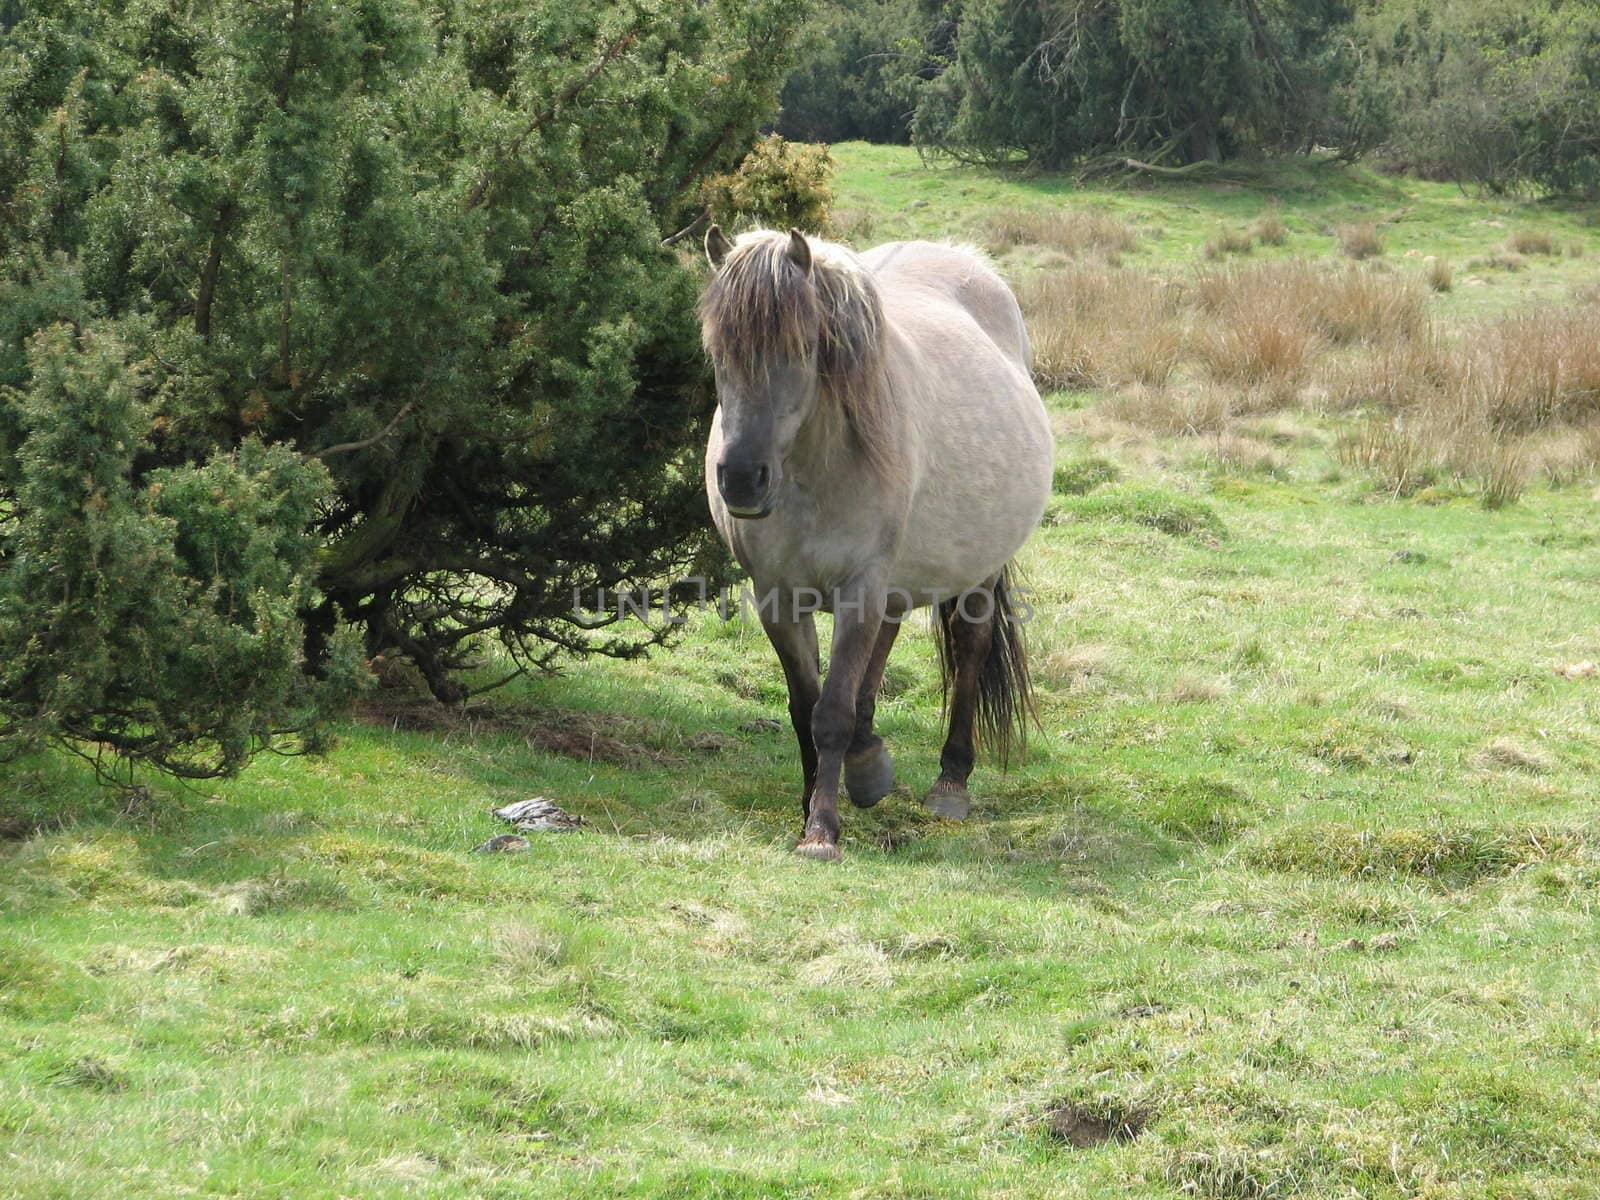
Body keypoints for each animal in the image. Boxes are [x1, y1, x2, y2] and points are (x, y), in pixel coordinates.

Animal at [697, 225, 1049, 857]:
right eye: (718, 352)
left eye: (801, 349)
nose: (739, 479)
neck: (816, 471)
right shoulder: (777, 595)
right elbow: (804, 705)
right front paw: (816, 800)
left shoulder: (859, 586)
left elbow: (831, 711)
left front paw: (821, 830)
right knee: (882, 647)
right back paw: (867, 766)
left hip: (977, 571)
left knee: (972, 645)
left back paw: (950, 783)